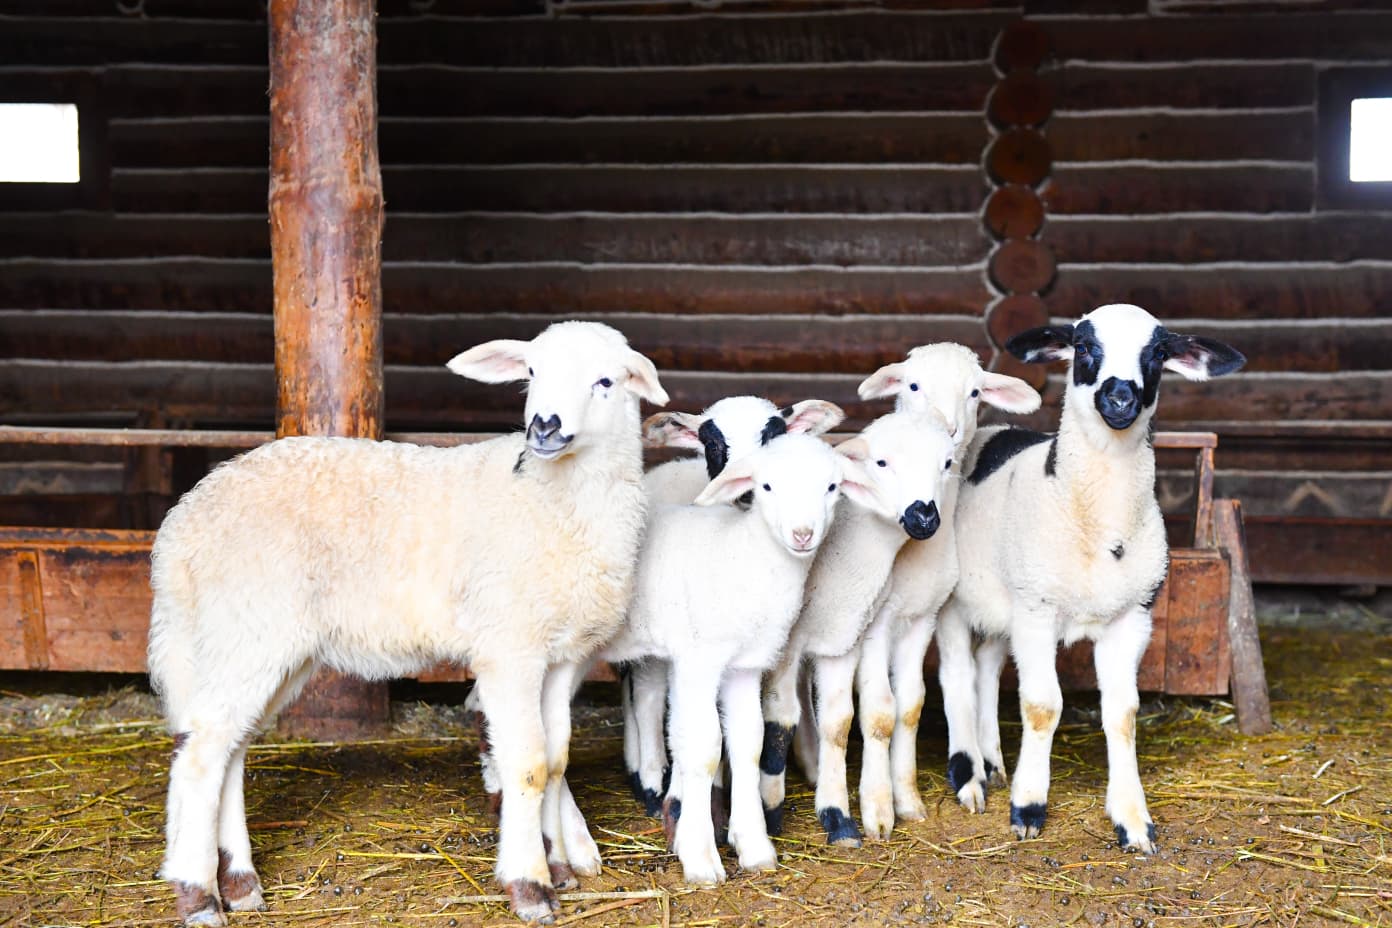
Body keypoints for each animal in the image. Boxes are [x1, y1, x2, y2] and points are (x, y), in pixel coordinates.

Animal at [146, 321, 668, 926]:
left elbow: (556, 759)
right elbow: (529, 764)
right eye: (531, 372)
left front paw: (558, 863)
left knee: (229, 747)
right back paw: (199, 894)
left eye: (606, 381)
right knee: (202, 753)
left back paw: (238, 881)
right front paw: (531, 885)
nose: (544, 425)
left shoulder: (561, 656)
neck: (552, 497)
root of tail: (183, 524)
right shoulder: (509, 647)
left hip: (264, 643)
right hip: (248, 626)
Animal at [600, 432, 871, 883]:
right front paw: (699, 856)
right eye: (767, 487)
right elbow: (703, 746)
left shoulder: (744, 666)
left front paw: (754, 845)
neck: (742, 557)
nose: (802, 534)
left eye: (832, 487)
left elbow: (749, 741)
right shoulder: (698, 662)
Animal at [851, 344, 1041, 835]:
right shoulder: (879, 624)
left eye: (975, 391)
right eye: (913, 385)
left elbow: (912, 703)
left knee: (987, 670)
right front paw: (878, 809)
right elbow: (881, 707)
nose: (951, 428)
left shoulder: (928, 612)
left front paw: (907, 798)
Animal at [934, 303, 1244, 852]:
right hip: (956, 599)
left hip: (1002, 603)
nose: (1120, 397)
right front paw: (1028, 806)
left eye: (1158, 353)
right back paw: (969, 776)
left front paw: (1133, 819)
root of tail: (994, 430)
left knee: (987, 671)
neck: (1098, 524)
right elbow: (1042, 705)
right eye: (1083, 347)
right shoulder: (1037, 611)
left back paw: (993, 762)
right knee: (956, 675)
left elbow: (1122, 713)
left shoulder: (1131, 618)